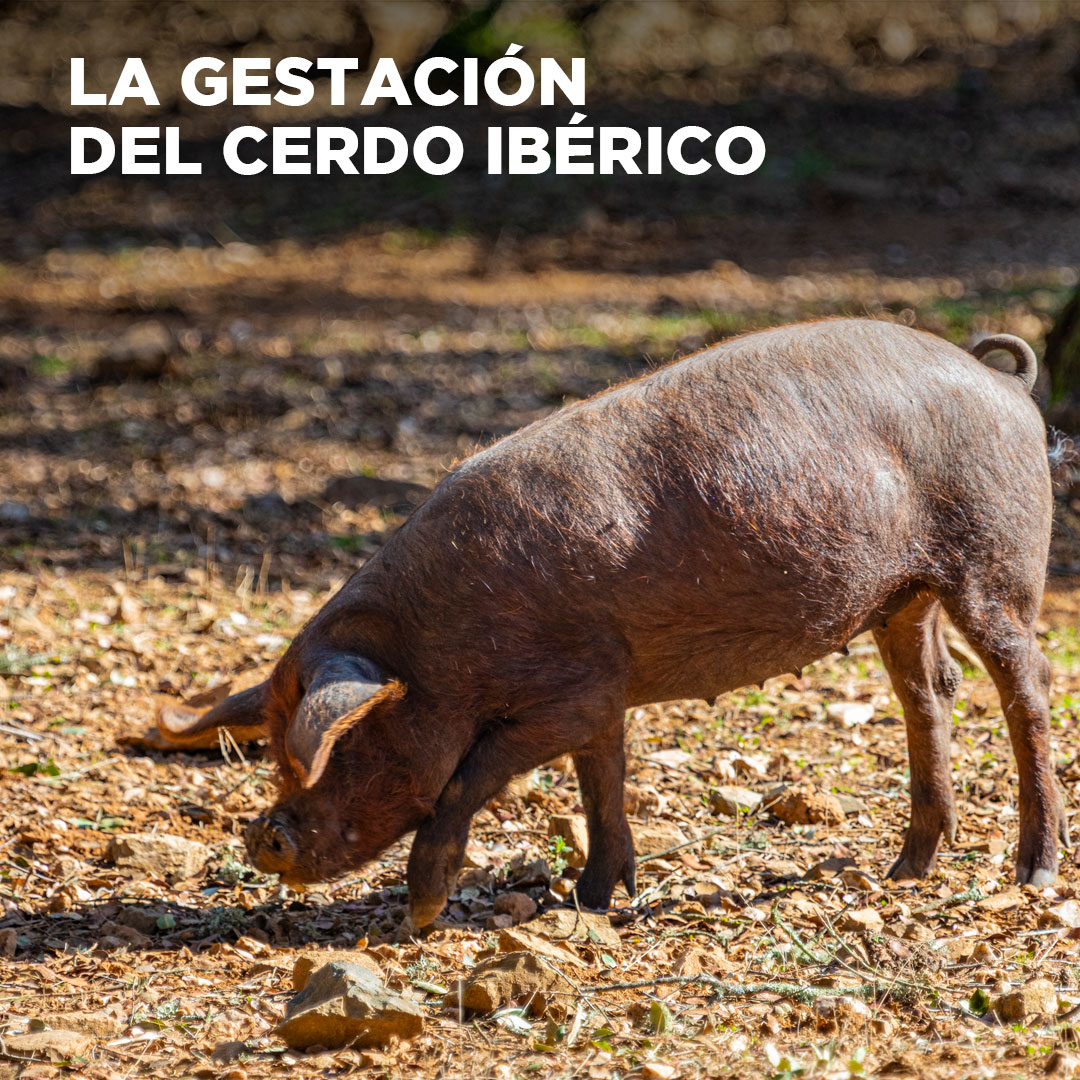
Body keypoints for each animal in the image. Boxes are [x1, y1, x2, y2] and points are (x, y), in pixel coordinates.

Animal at [159, 318, 1068, 927]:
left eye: (338, 748)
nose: (261, 838)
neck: (439, 644)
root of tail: (1004, 383)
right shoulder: (604, 690)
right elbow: (601, 783)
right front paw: (594, 899)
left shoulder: (565, 696)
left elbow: (467, 779)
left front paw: (422, 915)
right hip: (902, 593)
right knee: (930, 691)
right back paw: (905, 871)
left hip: (997, 555)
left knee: (1027, 684)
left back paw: (1033, 874)